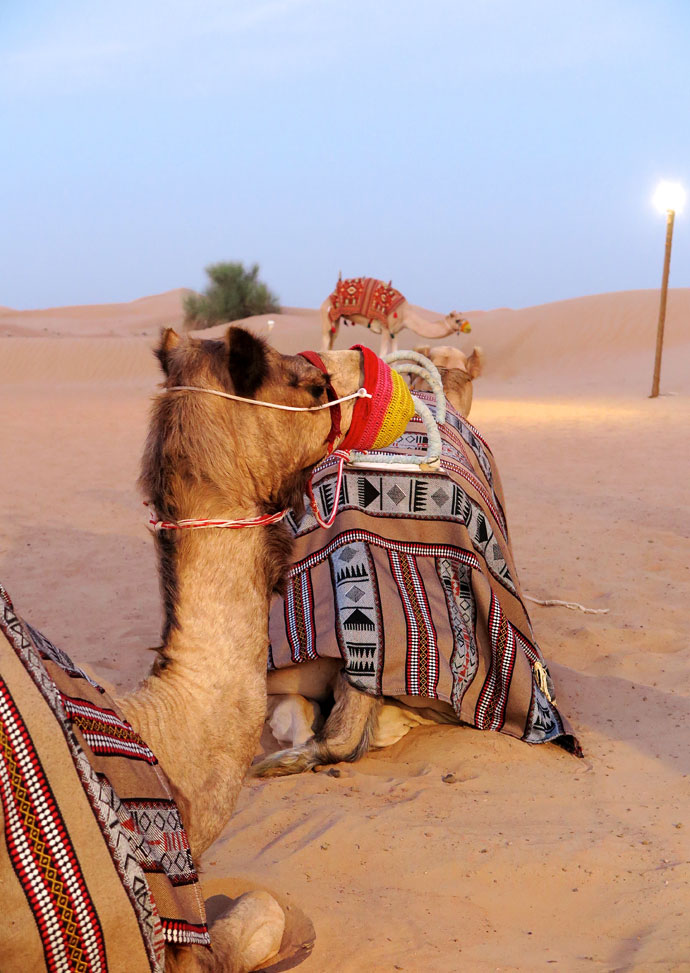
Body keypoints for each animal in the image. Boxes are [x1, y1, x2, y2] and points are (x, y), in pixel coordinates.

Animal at [320, 276, 470, 356]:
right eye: (458, 320)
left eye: (463, 318)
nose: (468, 328)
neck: (406, 314)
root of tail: (329, 296)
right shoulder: (386, 329)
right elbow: (383, 356)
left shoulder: (395, 332)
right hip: (327, 316)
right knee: (325, 342)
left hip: (336, 320)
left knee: (332, 341)